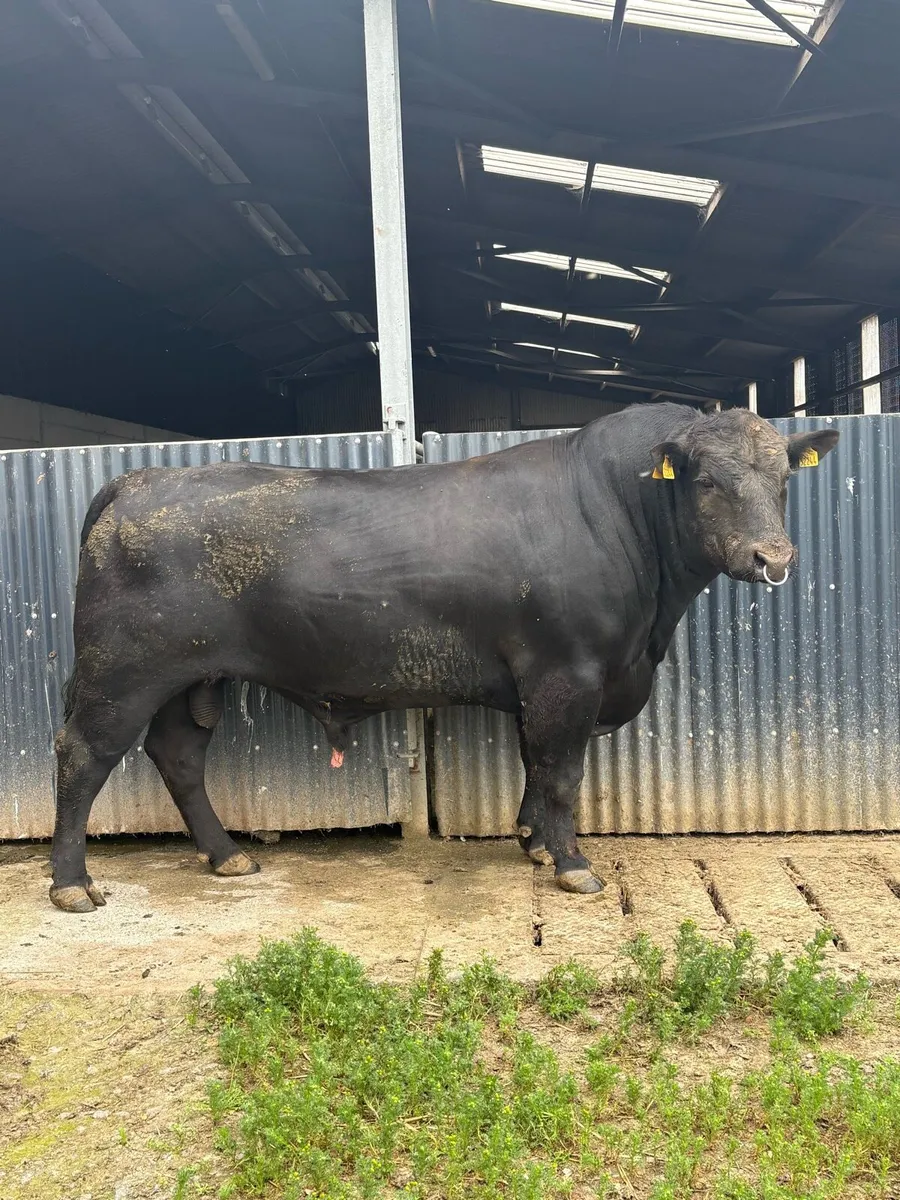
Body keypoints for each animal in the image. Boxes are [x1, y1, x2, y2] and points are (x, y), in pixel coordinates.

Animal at [48, 403, 838, 912]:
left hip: (193, 676)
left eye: (783, 479)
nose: (774, 558)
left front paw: (535, 844)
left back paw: (227, 855)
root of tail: (139, 480)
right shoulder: (568, 672)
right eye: (707, 481)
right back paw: (71, 883)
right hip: (123, 672)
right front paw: (573, 864)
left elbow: (534, 762)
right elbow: (561, 770)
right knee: (83, 755)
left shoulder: (540, 682)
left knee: (179, 754)